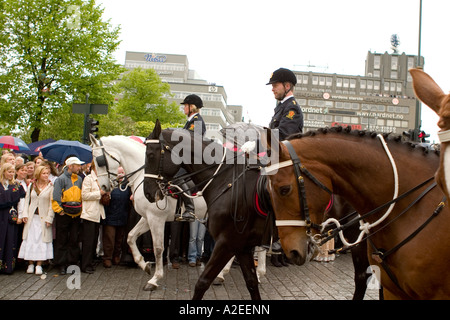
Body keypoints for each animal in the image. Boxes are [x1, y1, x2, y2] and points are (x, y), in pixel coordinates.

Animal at [90, 135, 268, 290]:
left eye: (99, 161)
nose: (103, 188)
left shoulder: (156, 219)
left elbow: (158, 248)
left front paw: (155, 279)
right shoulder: (147, 218)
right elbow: (131, 237)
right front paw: (143, 264)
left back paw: (258, 274)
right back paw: (223, 275)